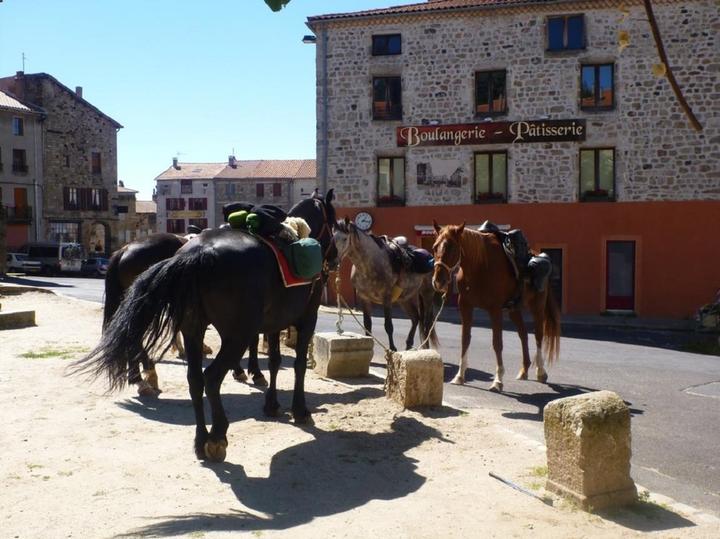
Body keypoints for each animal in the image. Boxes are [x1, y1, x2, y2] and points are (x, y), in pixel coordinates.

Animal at [77, 192, 336, 462]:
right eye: (334, 221)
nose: (336, 258)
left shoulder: (274, 321)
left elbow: (274, 360)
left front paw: (270, 400)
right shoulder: (305, 317)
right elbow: (297, 364)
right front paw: (298, 408)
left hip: (187, 324)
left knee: (192, 377)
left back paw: (194, 432)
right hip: (235, 332)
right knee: (209, 376)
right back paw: (215, 434)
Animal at [430, 221, 560, 394]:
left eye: (452, 248)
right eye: (434, 247)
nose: (438, 281)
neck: (479, 266)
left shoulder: (495, 310)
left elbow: (497, 343)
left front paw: (498, 380)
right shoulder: (465, 307)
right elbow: (465, 340)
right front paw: (459, 376)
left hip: (537, 307)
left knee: (538, 335)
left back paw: (541, 371)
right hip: (514, 310)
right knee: (523, 334)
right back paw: (524, 370)